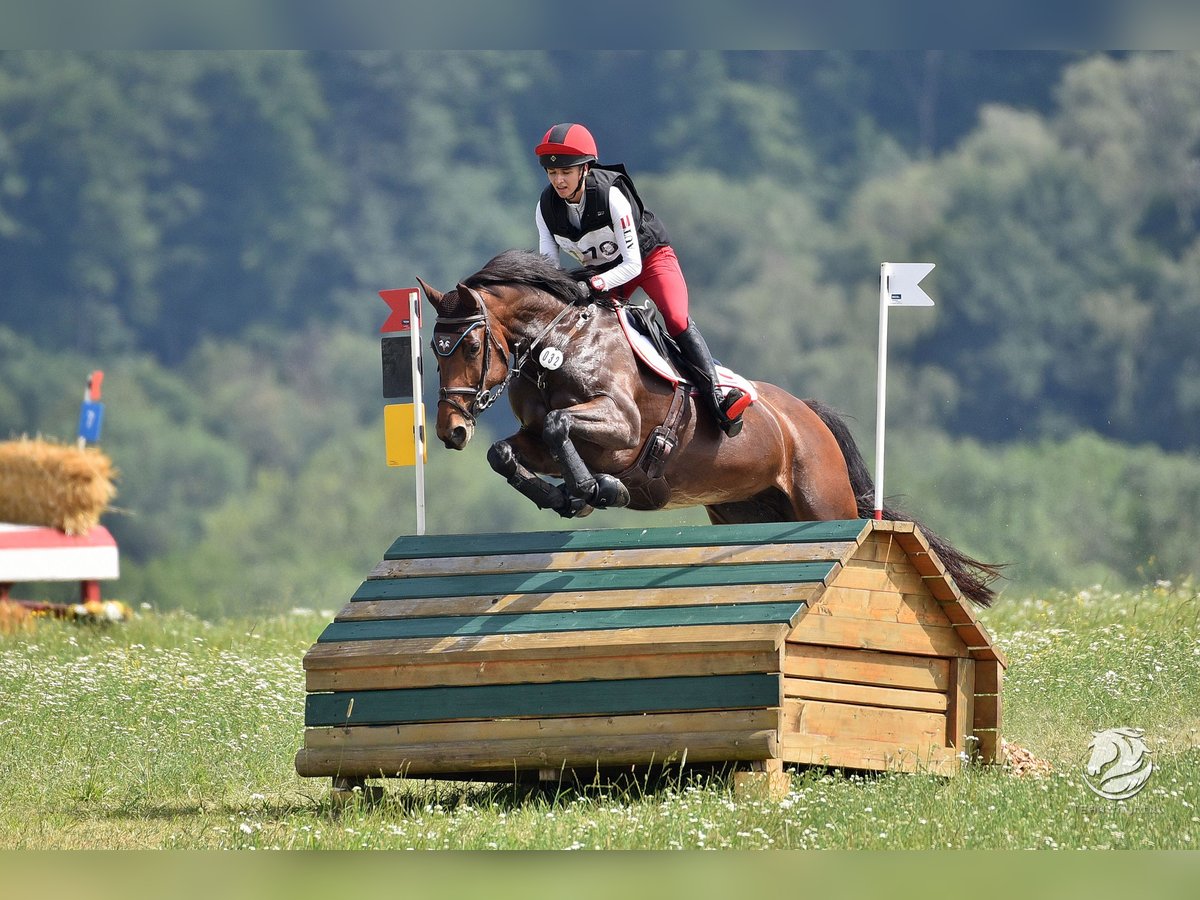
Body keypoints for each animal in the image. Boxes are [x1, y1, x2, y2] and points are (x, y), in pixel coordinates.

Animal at [417, 250, 998, 609]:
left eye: (471, 345)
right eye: (433, 352)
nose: (450, 431)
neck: (559, 344)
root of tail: (808, 415)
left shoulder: (622, 429)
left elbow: (565, 428)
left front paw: (594, 491)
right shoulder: (535, 437)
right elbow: (504, 453)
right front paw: (563, 498)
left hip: (822, 504)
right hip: (746, 512)